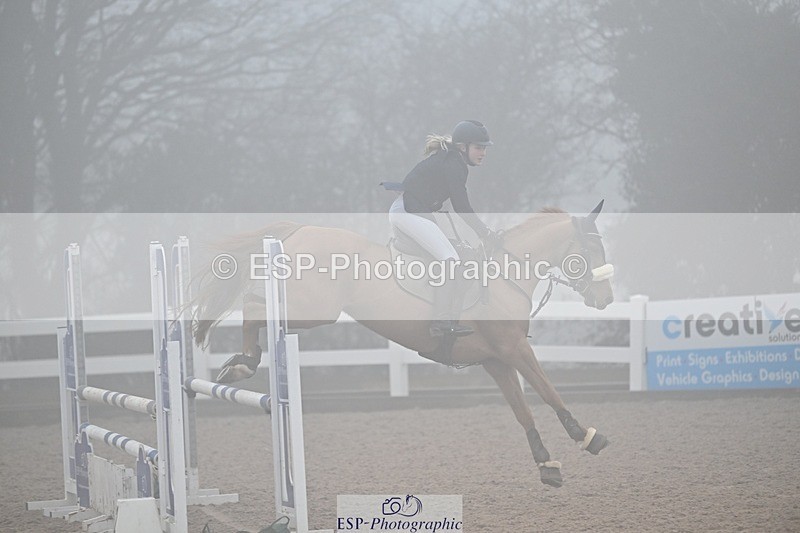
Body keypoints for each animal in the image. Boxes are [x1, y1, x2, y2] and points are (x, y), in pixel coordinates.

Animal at [192, 200, 614, 487]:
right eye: (592, 249)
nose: (606, 299)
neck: (506, 275)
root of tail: (301, 230)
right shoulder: (515, 350)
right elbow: (549, 391)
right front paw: (587, 436)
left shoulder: (496, 360)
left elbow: (522, 410)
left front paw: (546, 463)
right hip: (312, 309)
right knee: (252, 307)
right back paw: (244, 361)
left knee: (254, 307)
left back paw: (240, 363)